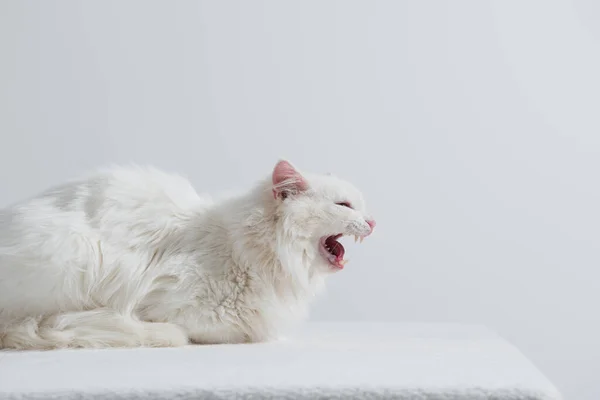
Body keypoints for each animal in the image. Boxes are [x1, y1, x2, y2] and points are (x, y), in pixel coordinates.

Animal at [0, 161, 376, 348]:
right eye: (344, 206)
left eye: (361, 205)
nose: (373, 222)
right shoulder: (181, 305)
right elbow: (230, 330)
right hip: (72, 252)